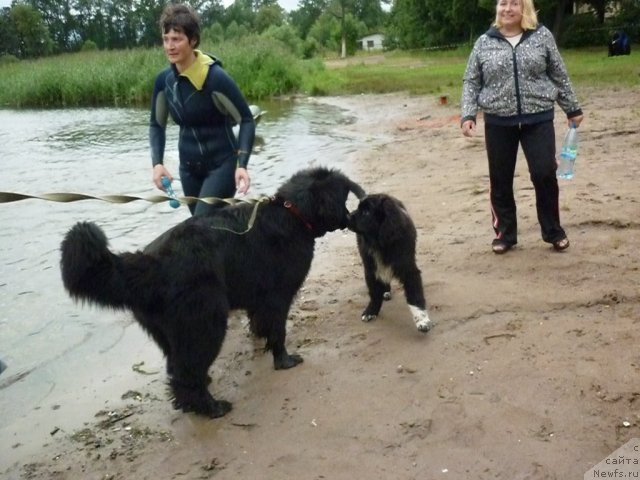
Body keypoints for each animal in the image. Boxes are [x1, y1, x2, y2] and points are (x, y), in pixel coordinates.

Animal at [60, 167, 364, 418]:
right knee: (186, 372)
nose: (350, 217)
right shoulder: (278, 296)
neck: (292, 213)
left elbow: (260, 324)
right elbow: (278, 332)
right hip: (204, 323)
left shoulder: (259, 299)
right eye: (344, 198)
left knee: (178, 369)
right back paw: (210, 407)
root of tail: (149, 263)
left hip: (171, 332)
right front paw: (284, 360)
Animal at [348, 193, 432, 332]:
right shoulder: (370, 269)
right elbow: (374, 293)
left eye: (366, 212)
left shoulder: (409, 270)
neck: (380, 243)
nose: (347, 216)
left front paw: (422, 320)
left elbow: (415, 296)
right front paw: (371, 311)